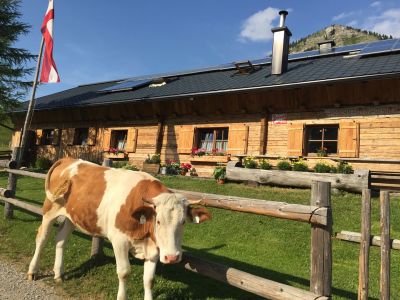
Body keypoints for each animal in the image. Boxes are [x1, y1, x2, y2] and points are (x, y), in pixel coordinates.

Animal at [27, 158, 211, 298]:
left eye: (183, 222)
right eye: (158, 221)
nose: (172, 257)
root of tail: (68, 159)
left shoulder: (153, 248)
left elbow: (149, 280)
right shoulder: (119, 240)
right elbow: (124, 272)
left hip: (73, 216)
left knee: (61, 238)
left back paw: (58, 274)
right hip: (50, 209)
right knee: (42, 238)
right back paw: (33, 271)